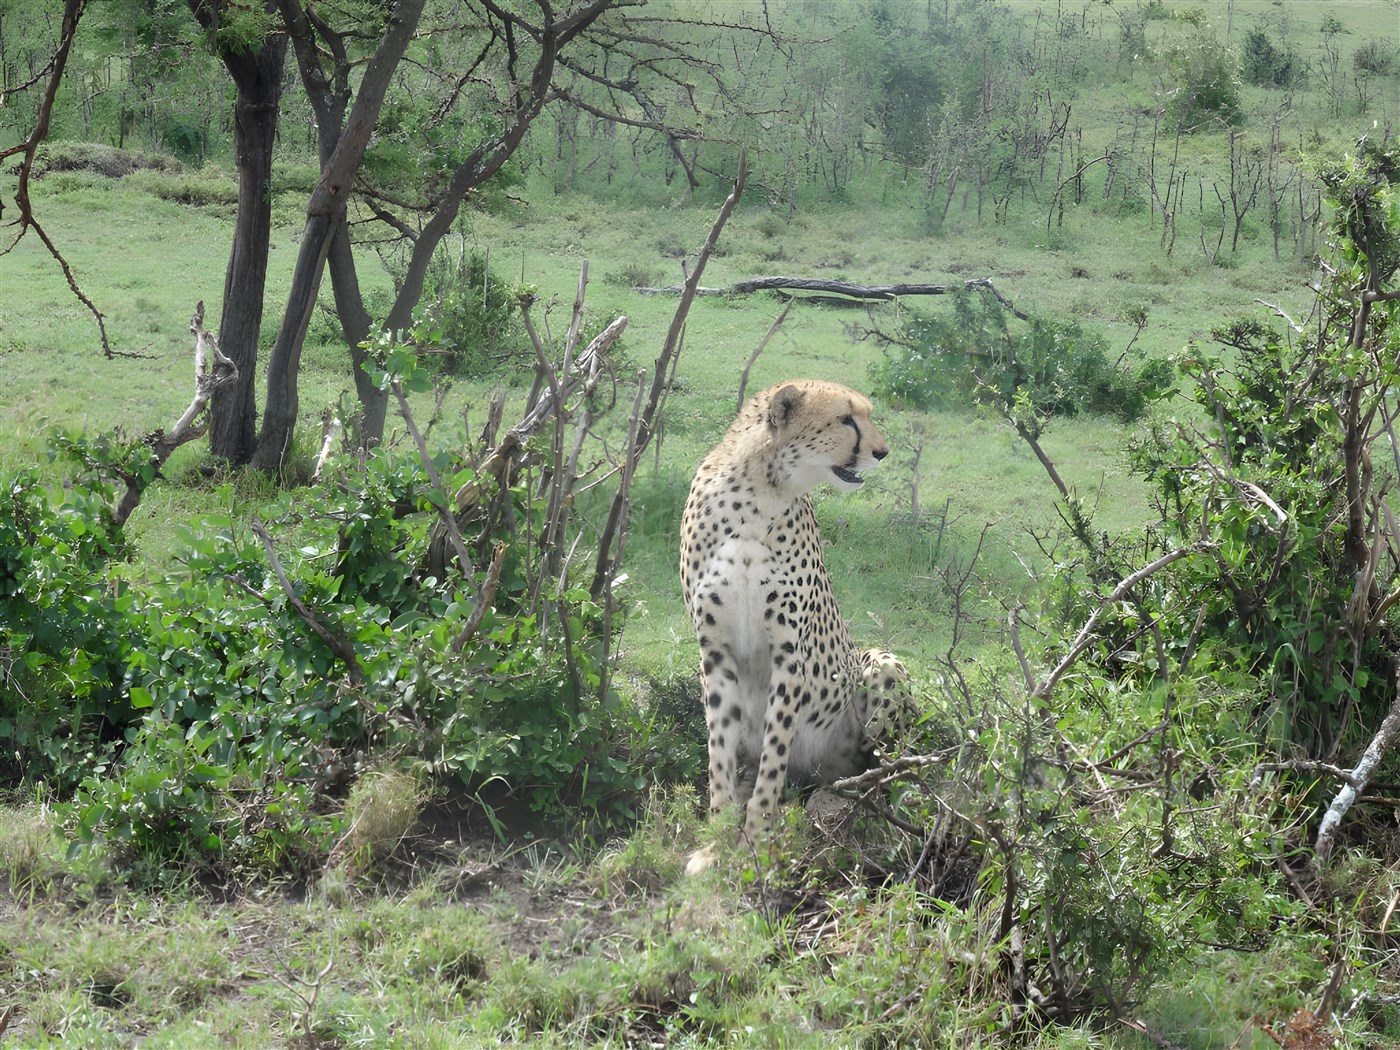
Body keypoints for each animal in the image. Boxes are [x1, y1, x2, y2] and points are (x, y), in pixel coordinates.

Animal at [679, 379, 914, 849]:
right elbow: (720, 749)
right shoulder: (715, 652)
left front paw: (756, 837)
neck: (759, 493)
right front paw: (717, 836)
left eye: (867, 414)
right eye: (846, 419)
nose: (882, 452)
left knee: (883, 767)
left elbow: (775, 753)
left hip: (880, 666)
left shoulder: (790, 655)